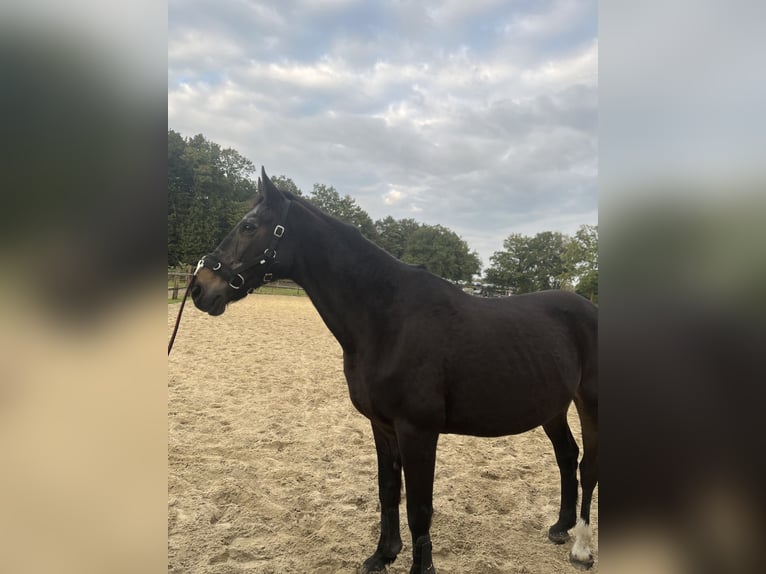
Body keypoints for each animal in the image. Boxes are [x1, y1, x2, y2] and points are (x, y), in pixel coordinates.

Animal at [190, 169, 600, 572]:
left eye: (249, 226)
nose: (198, 288)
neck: (388, 320)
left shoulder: (418, 431)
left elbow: (419, 508)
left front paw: (420, 566)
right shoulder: (382, 425)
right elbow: (387, 490)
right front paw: (383, 554)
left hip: (589, 403)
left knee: (589, 464)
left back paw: (581, 549)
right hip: (552, 408)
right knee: (568, 456)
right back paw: (560, 527)